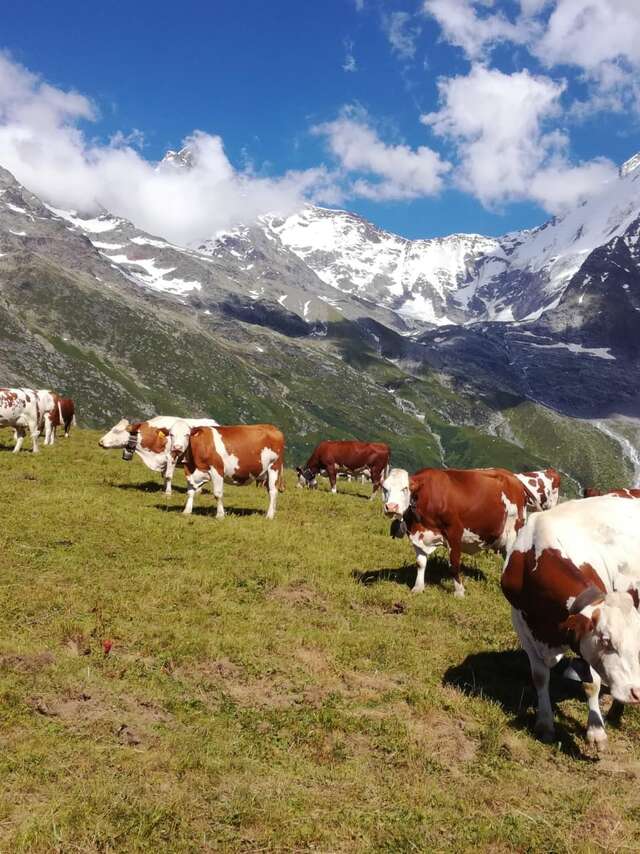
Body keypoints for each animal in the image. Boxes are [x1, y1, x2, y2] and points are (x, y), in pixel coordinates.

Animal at [380, 468, 528, 596]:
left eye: (405, 488)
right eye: (385, 489)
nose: (391, 507)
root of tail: (512, 477)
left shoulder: (454, 532)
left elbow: (454, 565)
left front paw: (459, 592)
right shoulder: (417, 535)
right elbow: (420, 563)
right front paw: (418, 587)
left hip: (514, 532)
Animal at [502, 494, 640, 748]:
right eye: (606, 640)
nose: (636, 692)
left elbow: (591, 683)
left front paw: (596, 730)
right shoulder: (522, 627)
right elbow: (540, 677)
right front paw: (545, 724)